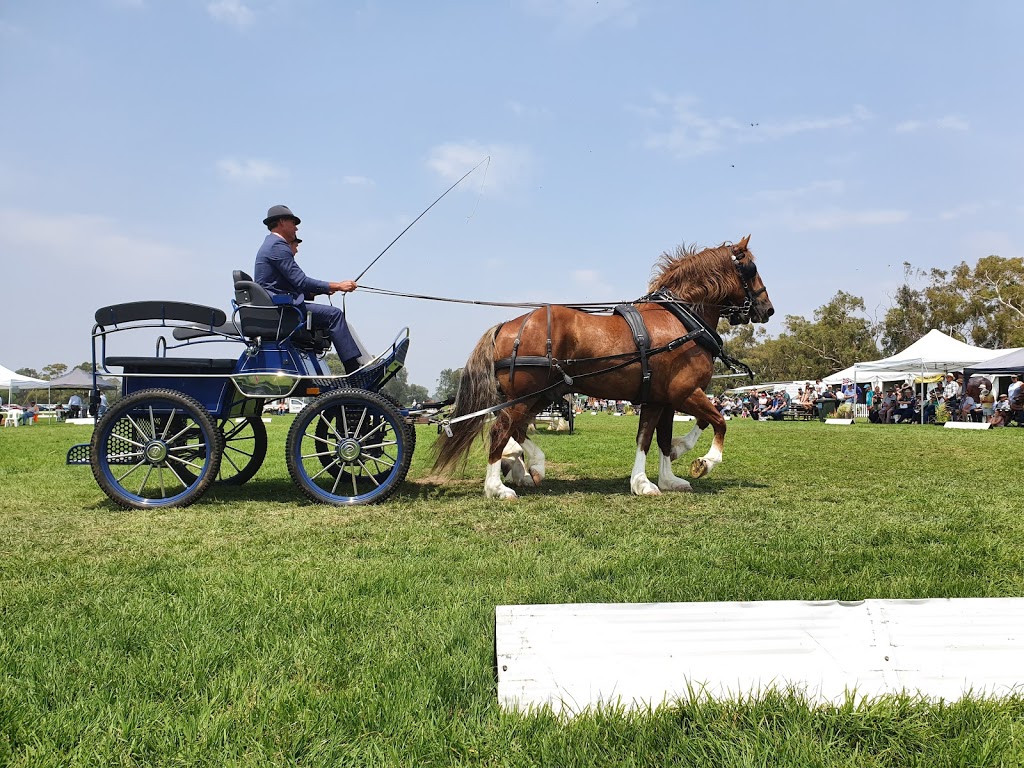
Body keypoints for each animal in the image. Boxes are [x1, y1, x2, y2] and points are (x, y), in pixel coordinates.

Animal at [432, 234, 774, 499]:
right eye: (751, 268)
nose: (767, 309)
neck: (680, 320)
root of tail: (506, 326)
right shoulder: (685, 391)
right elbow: (718, 420)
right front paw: (704, 461)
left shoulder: (661, 399)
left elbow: (656, 439)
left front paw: (662, 478)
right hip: (526, 396)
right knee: (500, 431)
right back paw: (498, 487)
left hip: (539, 395)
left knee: (515, 429)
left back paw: (530, 466)